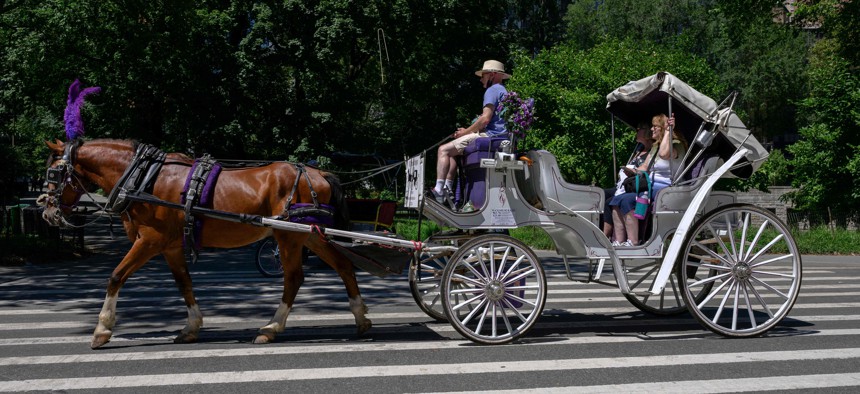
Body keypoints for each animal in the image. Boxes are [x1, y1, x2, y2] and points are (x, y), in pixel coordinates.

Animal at [40, 138, 372, 348]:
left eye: (53, 172)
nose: (47, 212)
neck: (143, 179)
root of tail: (319, 172)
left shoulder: (150, 240)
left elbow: (116, 276)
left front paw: (102, 329)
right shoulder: (171, 247)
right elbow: (184, 284)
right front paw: (191, 327)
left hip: (289, 236)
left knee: (293, 278)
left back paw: (270, 328)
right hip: (310, 235)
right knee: (343, 266)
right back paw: (361, 320)